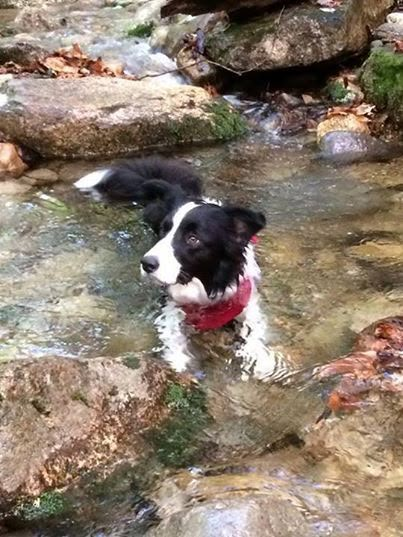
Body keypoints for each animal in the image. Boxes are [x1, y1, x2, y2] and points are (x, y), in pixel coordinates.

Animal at [75, 157, 284, 378]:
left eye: (193, 239)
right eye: (163, 230)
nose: (146, 263)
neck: (203, 282)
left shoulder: (245, 297)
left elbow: (255, 328)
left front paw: (259, 359)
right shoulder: (171, 302)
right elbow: (173, 334)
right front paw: (178, 364)